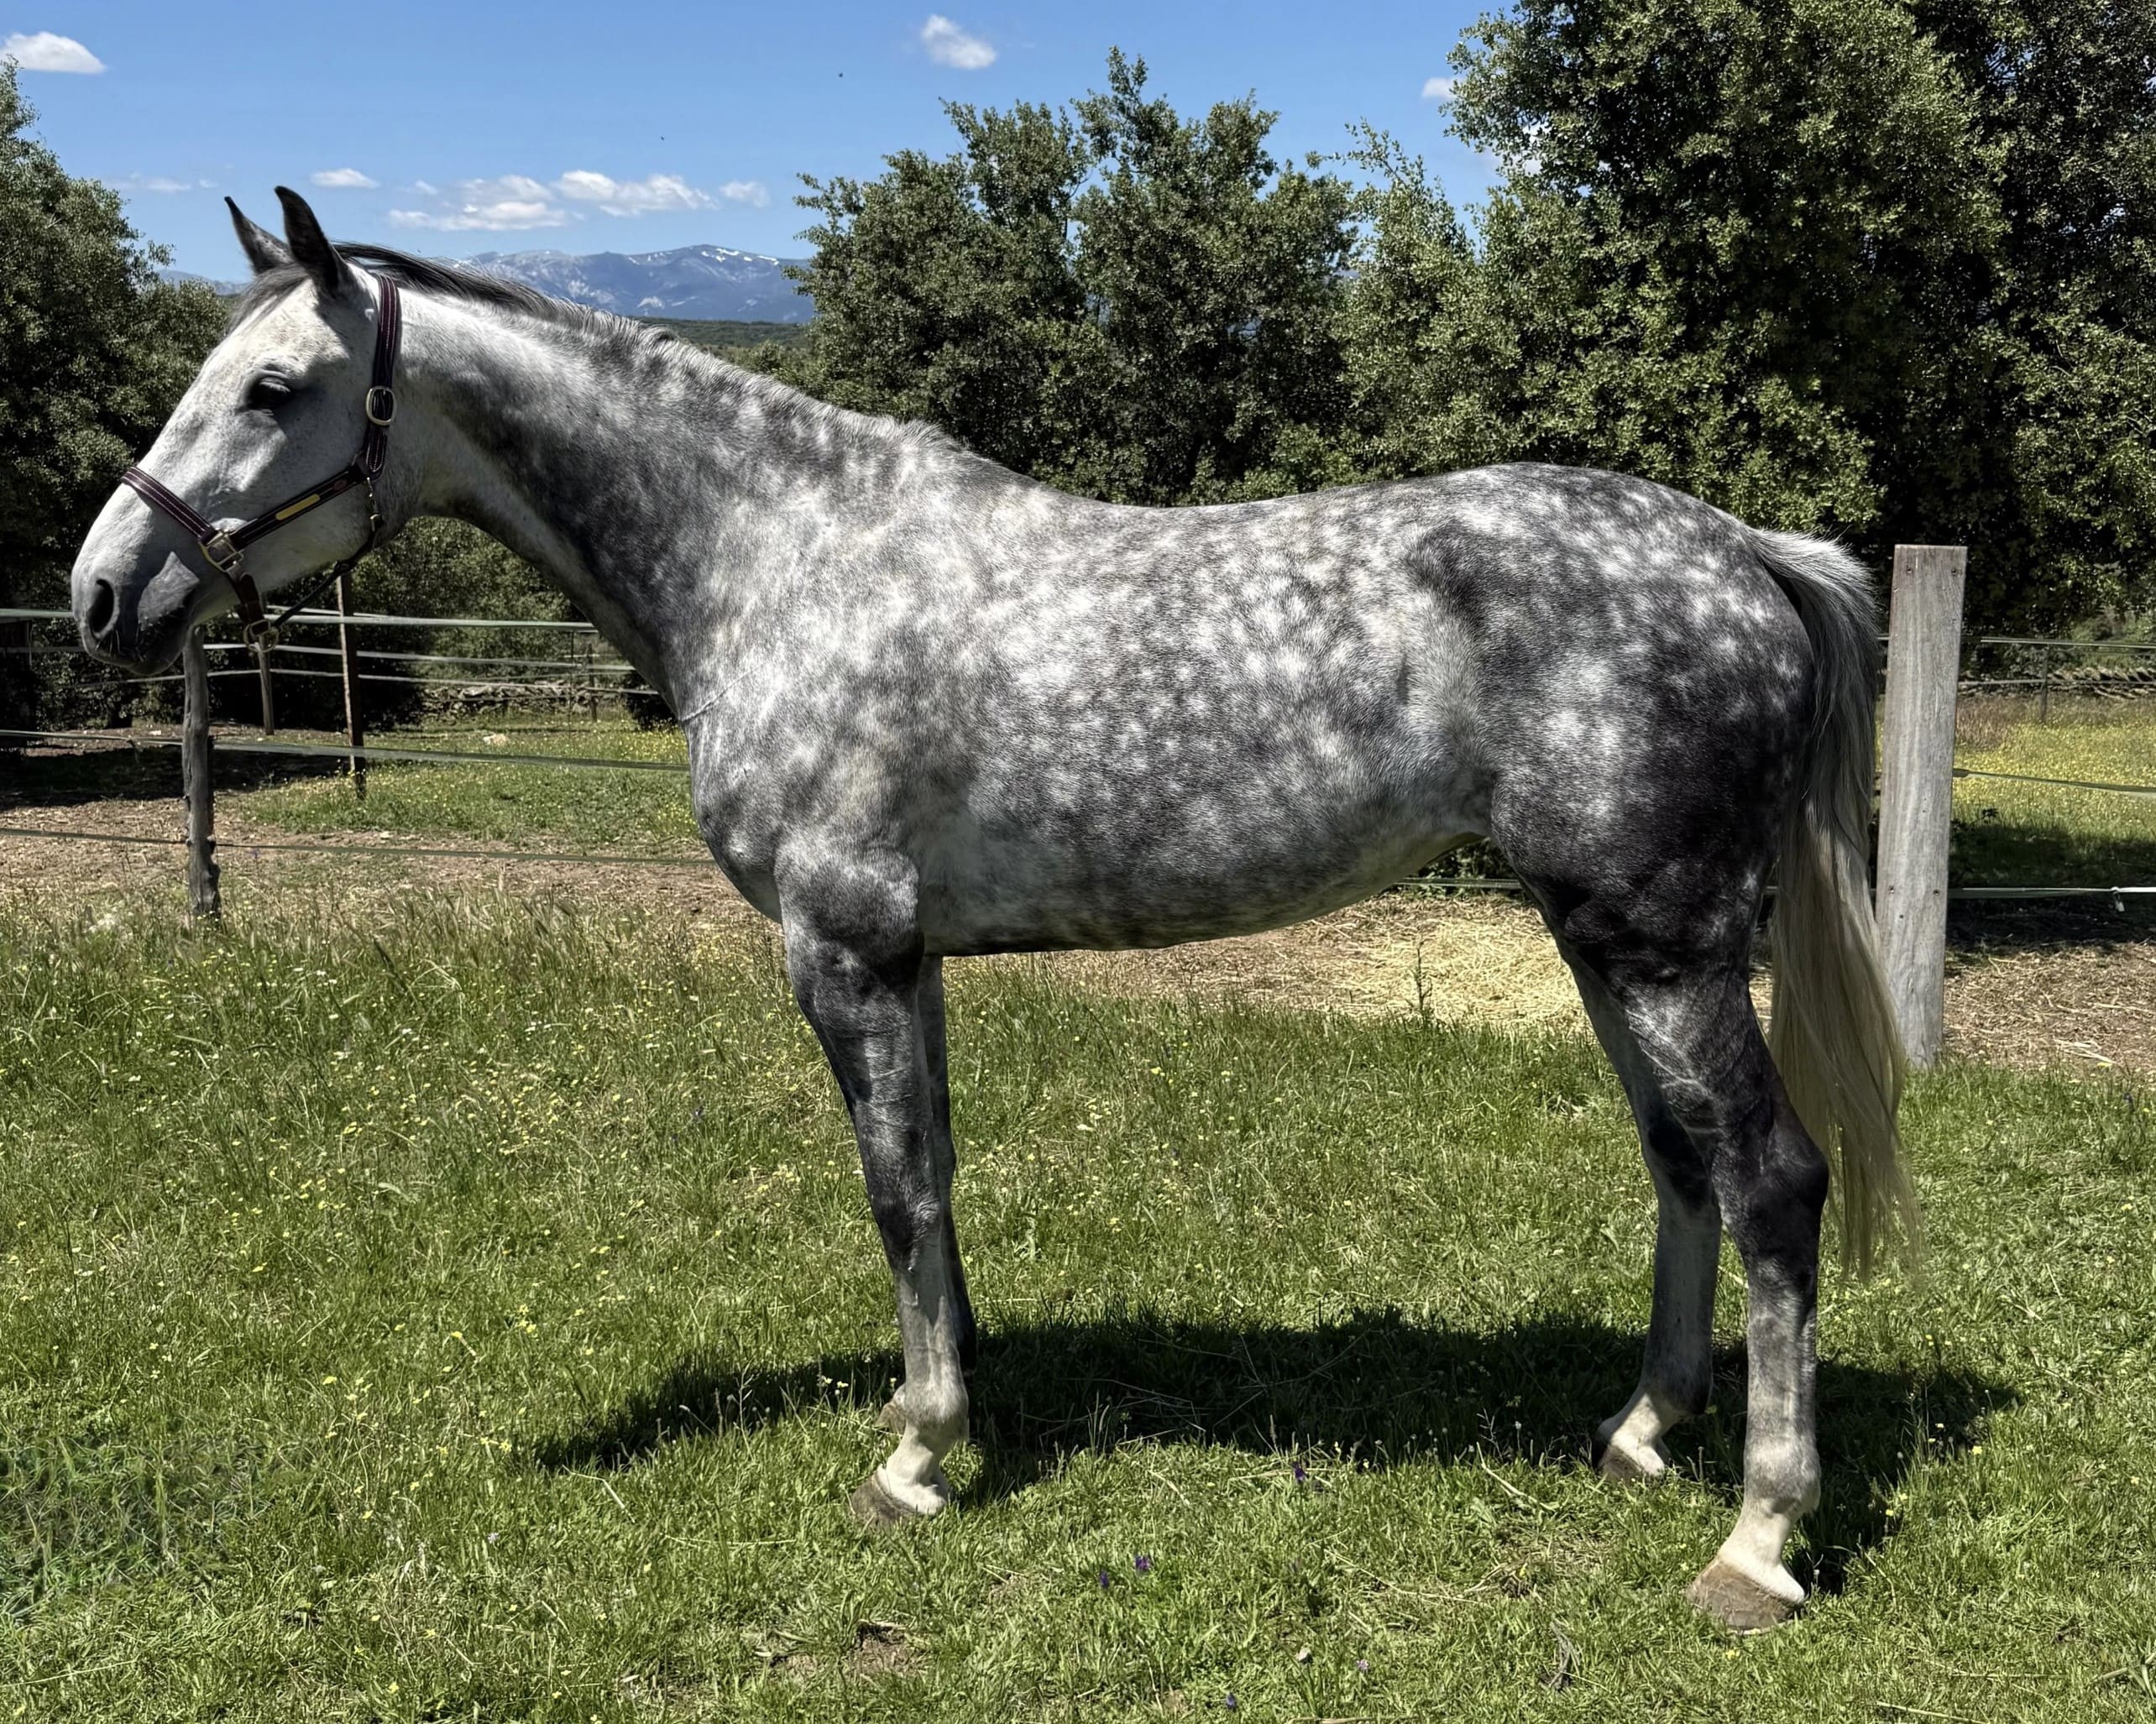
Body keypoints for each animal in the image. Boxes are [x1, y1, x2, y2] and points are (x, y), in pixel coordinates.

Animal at [71, 189, 1914, 1632]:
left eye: (277, 387)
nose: (101, 591)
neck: (779, 560)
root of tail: (1742, 551)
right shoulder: (911, 961)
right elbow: (937, 1181)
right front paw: (960, 1410)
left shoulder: (845, 952)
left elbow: (894, 1192)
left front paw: (915, 1453)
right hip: (1603, 935)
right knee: (1681, 1165)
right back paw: (1640, 1433)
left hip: (1663, 945)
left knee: (1772, 1179)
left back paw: (1758, 1539)